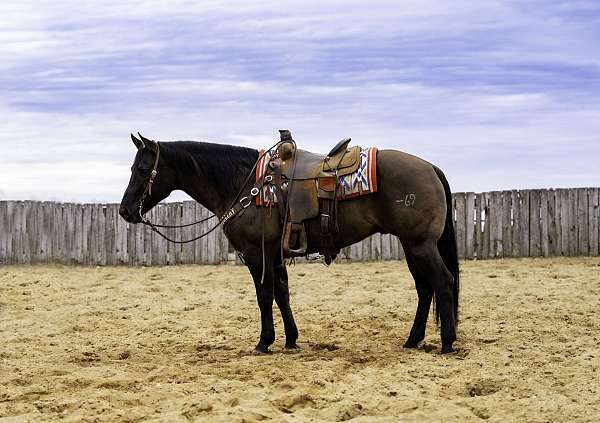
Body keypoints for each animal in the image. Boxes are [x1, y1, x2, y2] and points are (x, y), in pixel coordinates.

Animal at [119, 132, 462, 354]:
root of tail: (430, 167)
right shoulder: (276, 254)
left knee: (442, 282)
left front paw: (264, 342)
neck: (245, 184)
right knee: (424, 288)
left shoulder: (257, 253)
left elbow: (264, 295)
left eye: (142, 168)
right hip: (411, 245)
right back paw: (413, 340)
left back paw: (447, 343)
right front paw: (291, 340)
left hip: (420, 244)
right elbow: (282, 294)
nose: (124, 210)